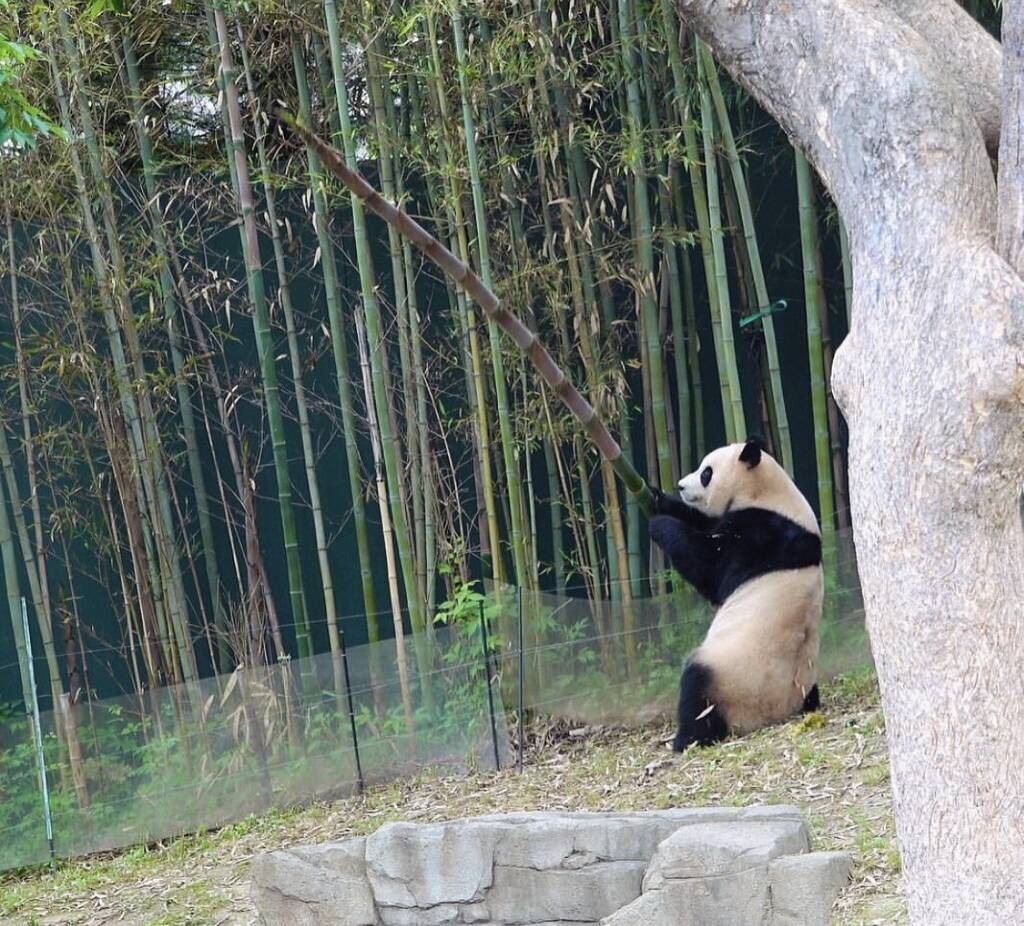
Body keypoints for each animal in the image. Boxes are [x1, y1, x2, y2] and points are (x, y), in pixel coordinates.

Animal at [651, 436, 827, 753]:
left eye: (706, 473)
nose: (681, 486)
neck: (769, 494)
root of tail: (776, 712)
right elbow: (704, 524)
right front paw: (659, 499)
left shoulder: (762, 535)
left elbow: (709, 567)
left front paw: (659, 523)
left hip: (732, 675)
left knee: (696, 686)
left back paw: (687, 739)